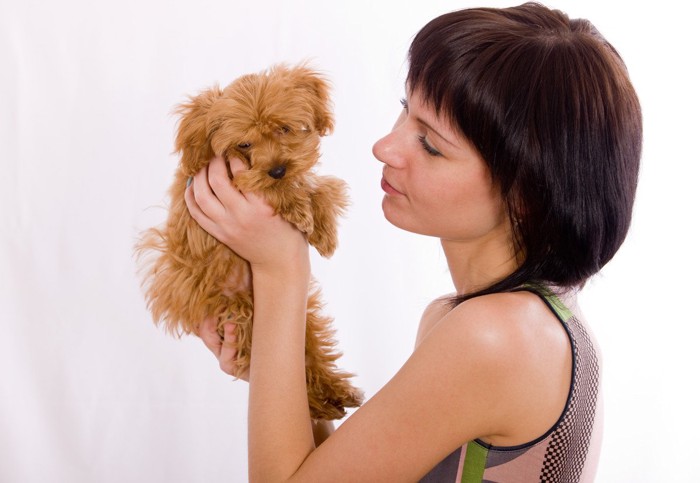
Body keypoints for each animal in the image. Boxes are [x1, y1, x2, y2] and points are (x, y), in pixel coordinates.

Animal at [139, 63, 364, 420]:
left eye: (284, 128)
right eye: (244, 144)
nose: (277, 169)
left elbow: (323, 186)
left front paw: (323, 231)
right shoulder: (232, 179)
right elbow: (279, 187)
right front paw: (300, 210)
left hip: (301, 316)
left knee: (310, 355)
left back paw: (337, 393)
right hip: (239, 312)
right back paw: (320, 404)